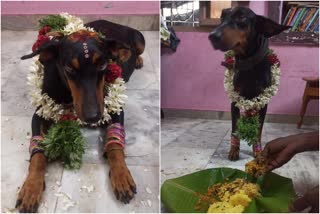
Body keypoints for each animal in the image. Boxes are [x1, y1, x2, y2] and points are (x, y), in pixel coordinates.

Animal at [15, 14, 145, 213]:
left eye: (103, 64)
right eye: (69, 69)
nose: (93, 116)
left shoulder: (114, 108)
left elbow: (115, 146)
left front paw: (122, 176)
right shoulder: (39, 113)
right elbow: (37, 154)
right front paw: (31, 188)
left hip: (140, 40)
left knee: (138, 51)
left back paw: (135, 59)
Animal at [208, 7, 290, 160]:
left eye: (242, 17)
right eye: (222, 17)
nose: (212, 36)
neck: (249, 64)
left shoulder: (262, 102)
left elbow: (258, 129)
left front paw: (257, 150)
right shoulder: (235, 100)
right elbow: (235, 128)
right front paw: (234, 150)